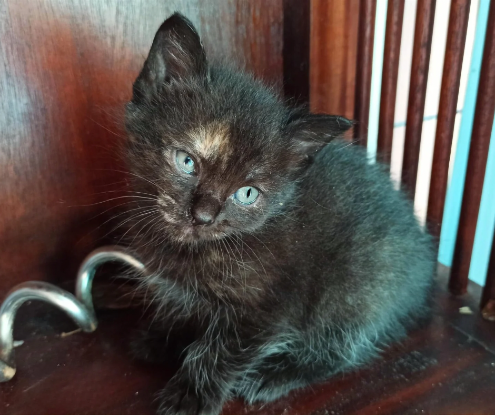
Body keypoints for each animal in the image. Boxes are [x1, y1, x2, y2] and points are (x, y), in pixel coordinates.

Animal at [123, 12, 435, 415]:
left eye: (247, 194)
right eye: (187, 161)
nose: (203, 216)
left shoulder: (271, 307)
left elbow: (218, 351)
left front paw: (188, 396)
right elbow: (186, 312)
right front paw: (162, 340)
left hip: (358, 284)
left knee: (342, 346)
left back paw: (275, 375)